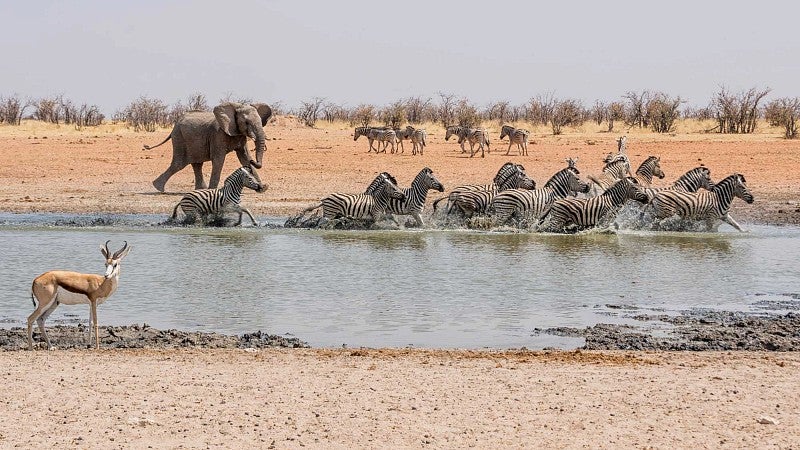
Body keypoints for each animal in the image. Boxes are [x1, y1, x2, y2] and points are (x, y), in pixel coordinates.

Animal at [146, 102, 276, 192]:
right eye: (246, 122)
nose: (254, 160)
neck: (235, 107)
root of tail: (175, 124)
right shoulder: (217, 135)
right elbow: (219, 160)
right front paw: (213, 190)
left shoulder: (240, 135)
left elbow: (244, 157)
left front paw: (263, 188)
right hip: (179, 138)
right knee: (179, 164)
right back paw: (158, 188)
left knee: (197, 164)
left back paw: (200, 189)